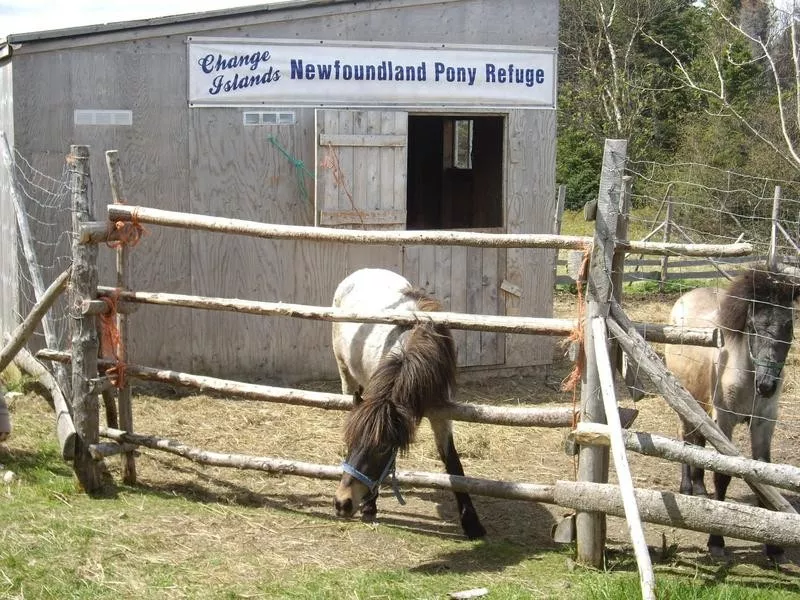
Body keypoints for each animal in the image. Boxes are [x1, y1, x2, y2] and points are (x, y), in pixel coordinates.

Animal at [328, 268, 484, 540]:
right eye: (350, 442)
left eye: (382, 448)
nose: (342, 503)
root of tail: (363, 271)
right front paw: (370, 505)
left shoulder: (442, 414)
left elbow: (453, 462)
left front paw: (471, 522)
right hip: (345, 372)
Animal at [664, 264, 796, 560]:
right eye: (753, 327)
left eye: (789, 325)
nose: (767, 385)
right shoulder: (724, 421)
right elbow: (723, 475)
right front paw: (716, 541)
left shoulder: (763, 423)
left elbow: (764, 472)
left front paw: (774, 547)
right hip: (684, 401)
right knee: (685, 441)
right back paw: (687, 488)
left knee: (698, 443)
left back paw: (700, 490)